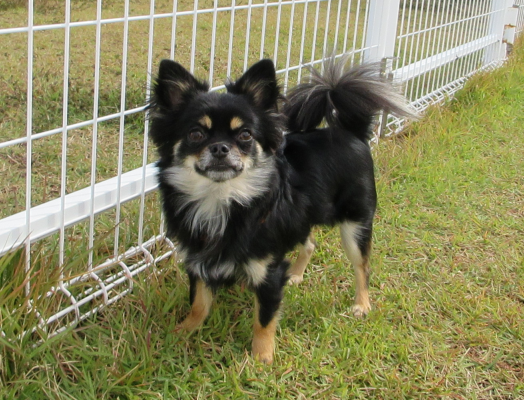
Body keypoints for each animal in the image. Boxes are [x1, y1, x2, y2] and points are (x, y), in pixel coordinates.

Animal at [148, 55, 415, 363]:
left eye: (245, 135)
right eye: (195, 133)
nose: (220, 148)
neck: (222, 200)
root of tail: (351, 133)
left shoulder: (268, 271)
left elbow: (263, 319)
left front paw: (261, 358)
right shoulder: (199, 259)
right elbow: (199, 302)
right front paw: (184, 331)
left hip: (355, 225)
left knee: (362, 267)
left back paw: (361, 304)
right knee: (309, 243)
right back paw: (297, 274)